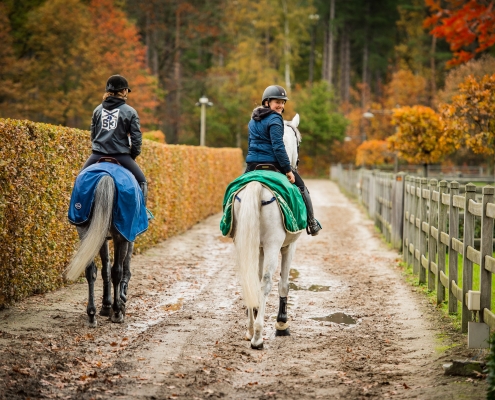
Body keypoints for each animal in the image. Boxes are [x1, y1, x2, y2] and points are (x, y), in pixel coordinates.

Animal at [65, 174, 138, 324]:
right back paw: (117, 312)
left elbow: (105, 269)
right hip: (119, 235)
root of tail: (106, 177)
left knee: (90, 270)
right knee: (117, 271)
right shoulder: (127, 234)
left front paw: (106, 305)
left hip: (86, 230)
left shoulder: (101, 236)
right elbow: (122, 265)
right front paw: (119, 301)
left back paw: (92, 314)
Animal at [234, 113, 304, 350]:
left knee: (249, 279)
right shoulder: (289, 246)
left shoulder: (260, 247)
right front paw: (282, 324)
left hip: (247, 244)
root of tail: (257, 183)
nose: (296, 165)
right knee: (266, 283)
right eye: (299, 141)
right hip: (274, 245)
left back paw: (249, 330)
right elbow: (283, 284)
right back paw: (257, 336)